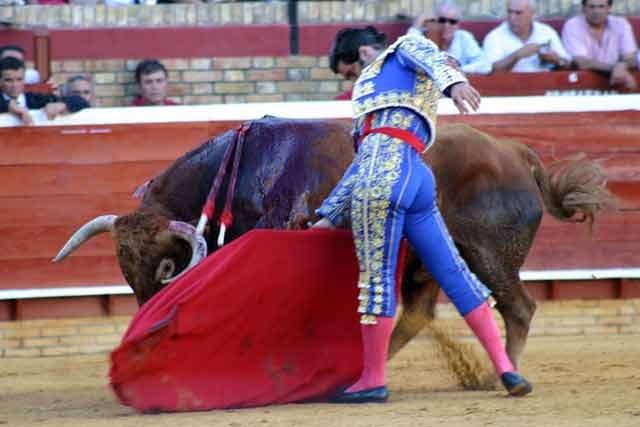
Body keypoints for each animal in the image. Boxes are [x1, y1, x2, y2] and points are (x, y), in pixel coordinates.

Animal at [52, 117, 612, 372]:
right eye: (124, 270)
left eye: (163, 269)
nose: (145, 321)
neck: (241, 169)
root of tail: (516, 152)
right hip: (427, 261)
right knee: (418, 313)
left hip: (488, 253)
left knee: (517, 307)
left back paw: (506, 371)